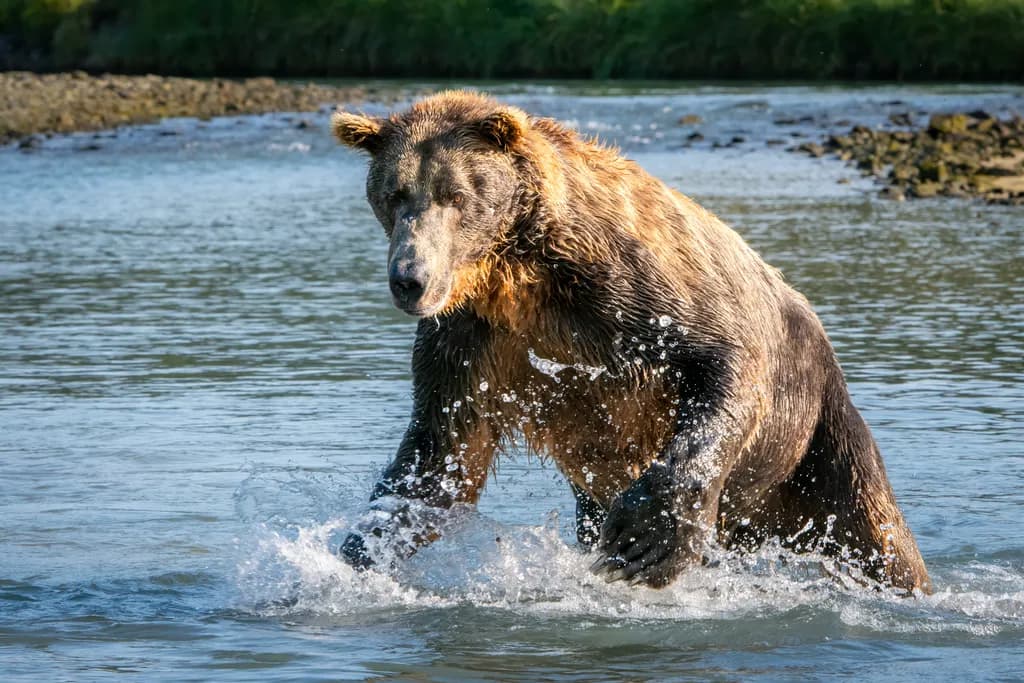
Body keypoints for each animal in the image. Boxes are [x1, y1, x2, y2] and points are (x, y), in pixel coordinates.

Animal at [330, 90, 931, 593]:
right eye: (394, 193)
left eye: (455, 194)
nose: (411, 278)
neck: (519, 274)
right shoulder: (474, 340)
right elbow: (440, 456)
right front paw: (355, 553)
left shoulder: (636, 291)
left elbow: (725, 363)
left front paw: (648, 539)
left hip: (817, 431)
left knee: (874, 532)